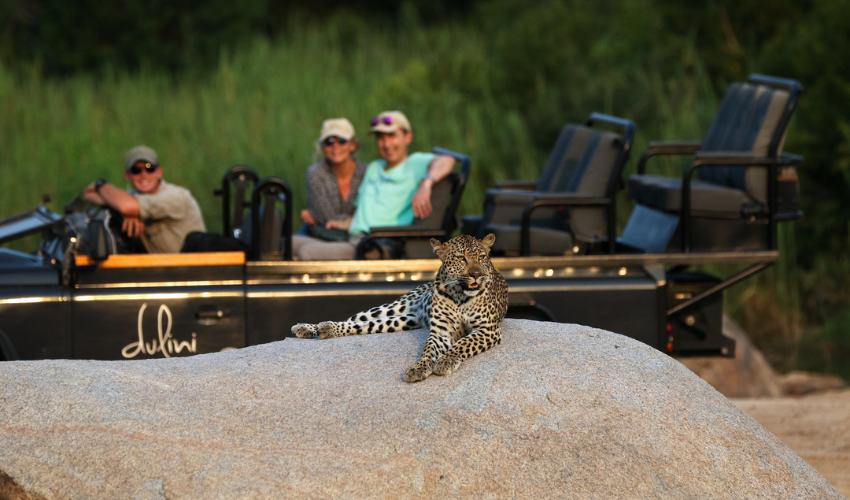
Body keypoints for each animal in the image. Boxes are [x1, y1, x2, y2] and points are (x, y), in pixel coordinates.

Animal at [291, 233, 508, 383]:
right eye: (461, 258)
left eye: (482, 257)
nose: (476, 275)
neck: (460, 295)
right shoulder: (440, 331)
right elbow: (429, 350)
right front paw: (419, 367)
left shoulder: (487, 330)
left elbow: (462, 344)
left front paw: (446, 361)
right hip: (394, 307)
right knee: (353, 320)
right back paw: (310, 328)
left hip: (403, 320)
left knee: (364, 326)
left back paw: (321, 329)